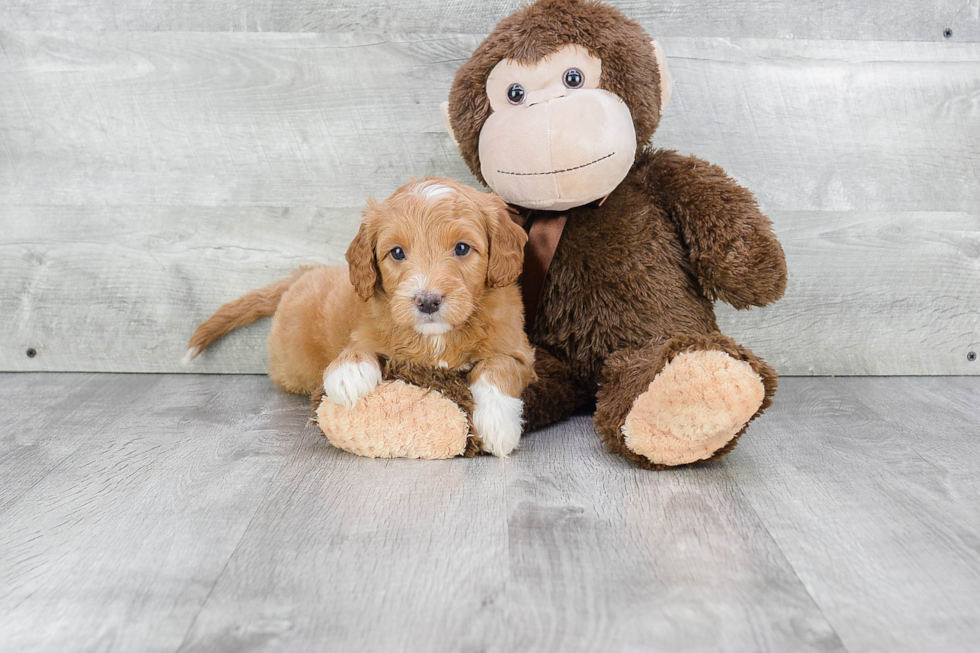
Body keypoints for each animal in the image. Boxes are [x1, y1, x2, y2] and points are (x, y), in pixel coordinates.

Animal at [184, 176, 536, 456]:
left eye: (462, 248)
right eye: (397, 253)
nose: (427, 302)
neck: (436, 337)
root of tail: (305, 273)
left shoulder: (521, 351)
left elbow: (498, 366)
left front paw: (497, 425)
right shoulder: (366, 328)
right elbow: (357, 347)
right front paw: (349, 372)